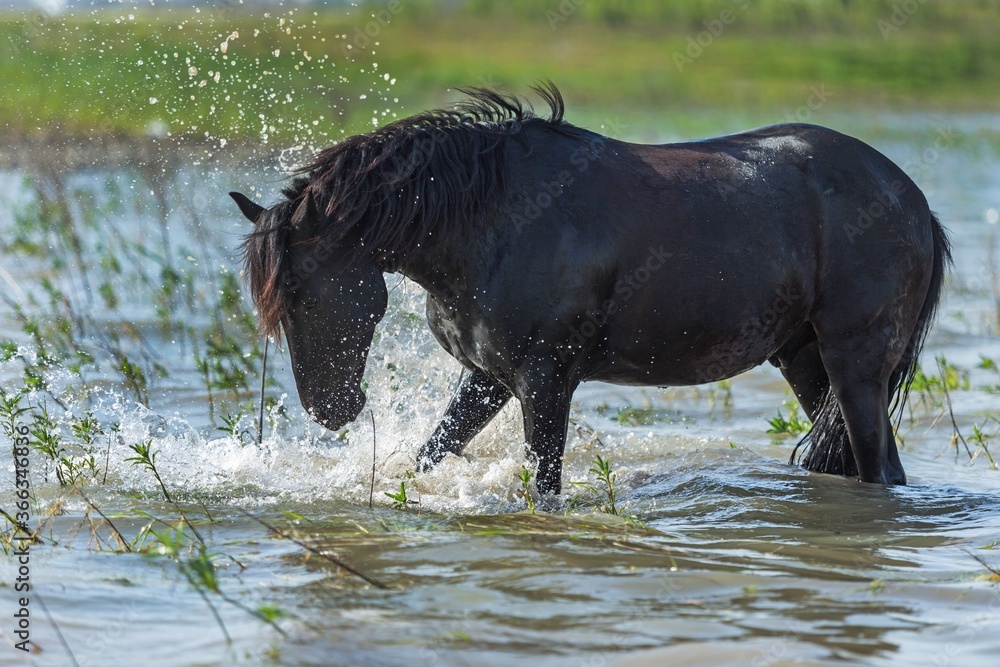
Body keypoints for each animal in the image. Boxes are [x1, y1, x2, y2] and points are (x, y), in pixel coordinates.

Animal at [232, 83, 944, 496]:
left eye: (297, 294)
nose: (330, 411)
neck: (494, 220)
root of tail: (912, 201)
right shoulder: (488, 378)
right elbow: (429, 457)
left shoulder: (545, 381)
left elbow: (543, 486)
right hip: (804, 359)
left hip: (855, 362)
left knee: (876, 469)